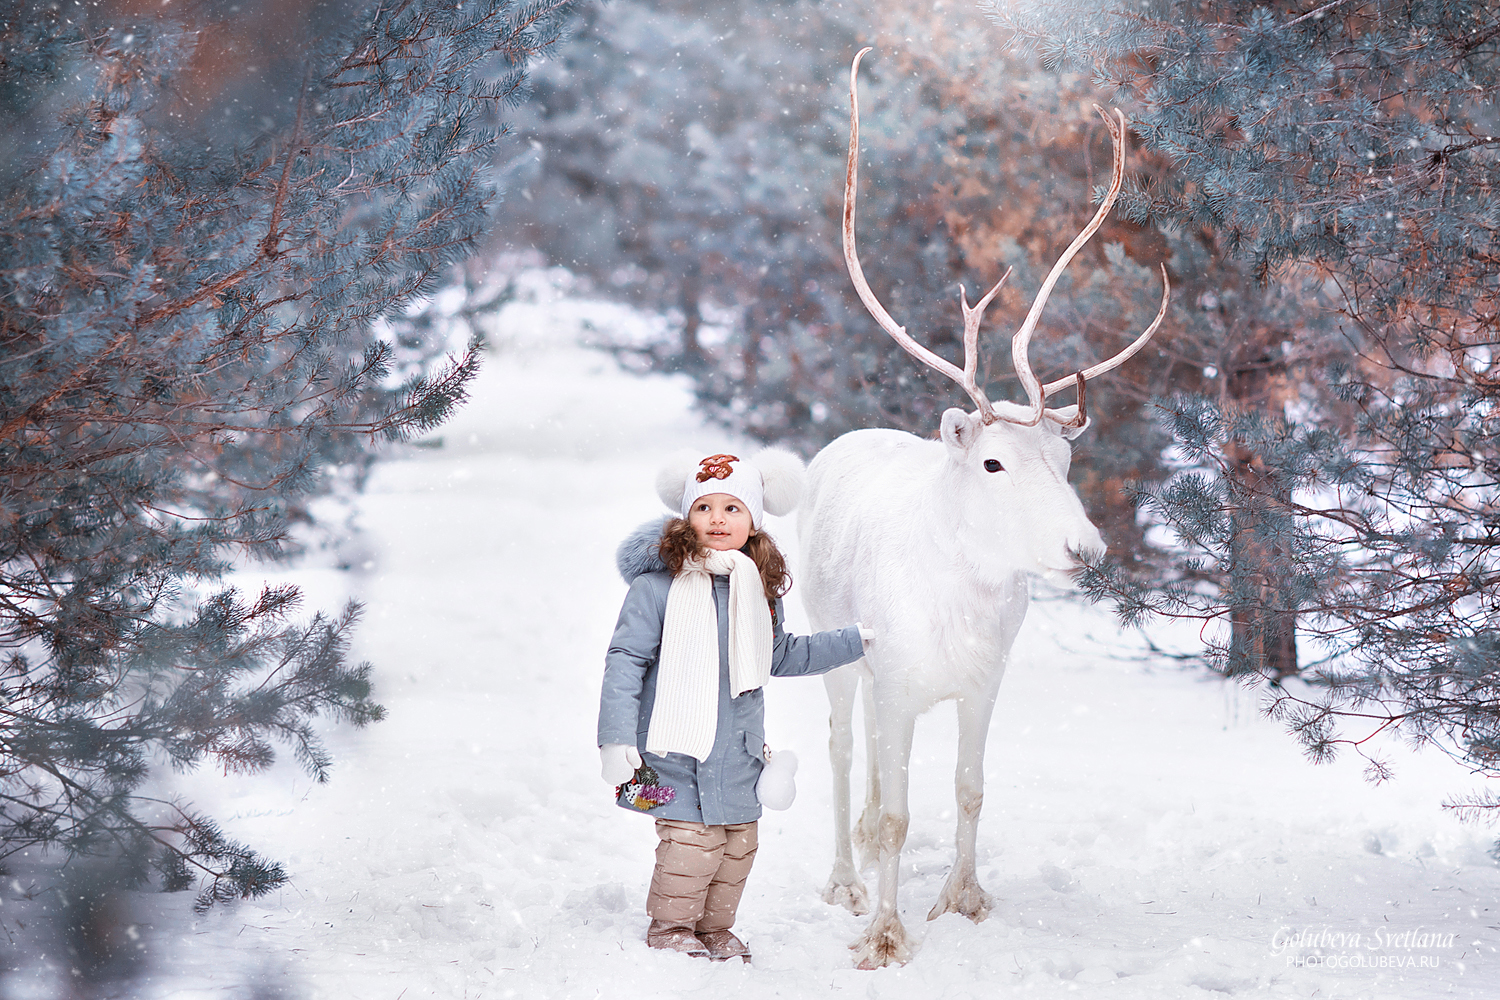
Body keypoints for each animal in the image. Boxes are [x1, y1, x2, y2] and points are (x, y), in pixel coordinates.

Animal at [804, 46, 1164, 971]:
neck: (961, 608)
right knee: (839, 750)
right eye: (994, 460)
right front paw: (882, 934)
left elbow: (968, 791)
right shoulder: (893, 681)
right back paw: (844, 879)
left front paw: (963, 898)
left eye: (1068, 458)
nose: (1087, 548)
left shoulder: (981, 684)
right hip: (833, 649)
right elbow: (900, 814)